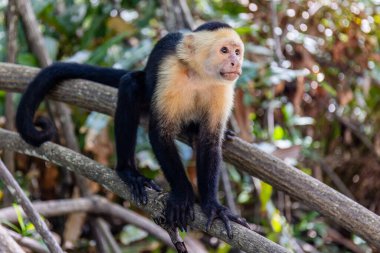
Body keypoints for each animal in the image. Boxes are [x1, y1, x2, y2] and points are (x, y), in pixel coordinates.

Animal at [16, 21, 249, 237]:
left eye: (237, 52)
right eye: (224, 50)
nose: (235, 62)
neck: (200, 75)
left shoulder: (223, 88)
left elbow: (210, 141)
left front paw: (213, 206)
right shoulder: (171, 74)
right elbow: (159, 134)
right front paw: (183, 195)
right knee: (131, 86)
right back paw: (129, 172)